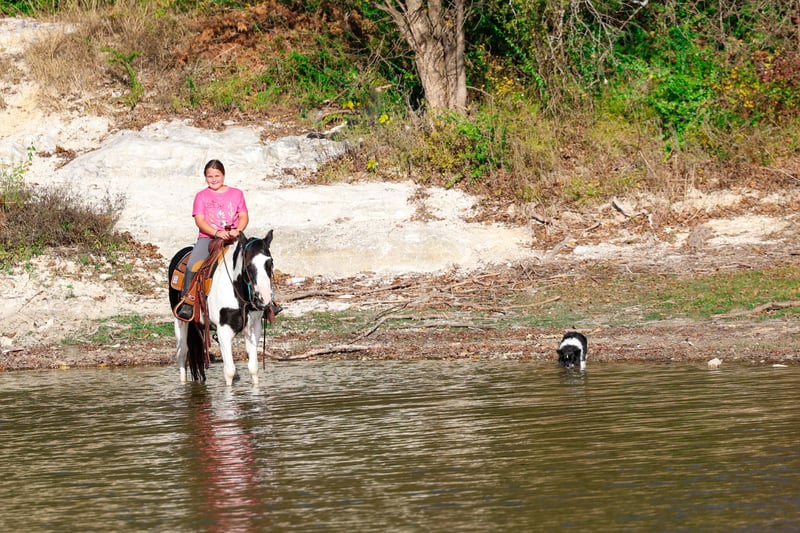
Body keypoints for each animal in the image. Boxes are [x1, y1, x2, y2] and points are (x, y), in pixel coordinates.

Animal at [168, 230, 276, 386]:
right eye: (248, 264)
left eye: (270, 262)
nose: (264, 298)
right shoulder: (224, 330)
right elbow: (229, 371)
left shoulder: (253, 328)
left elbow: (253, 368)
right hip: (180, 322)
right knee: (182, 354)